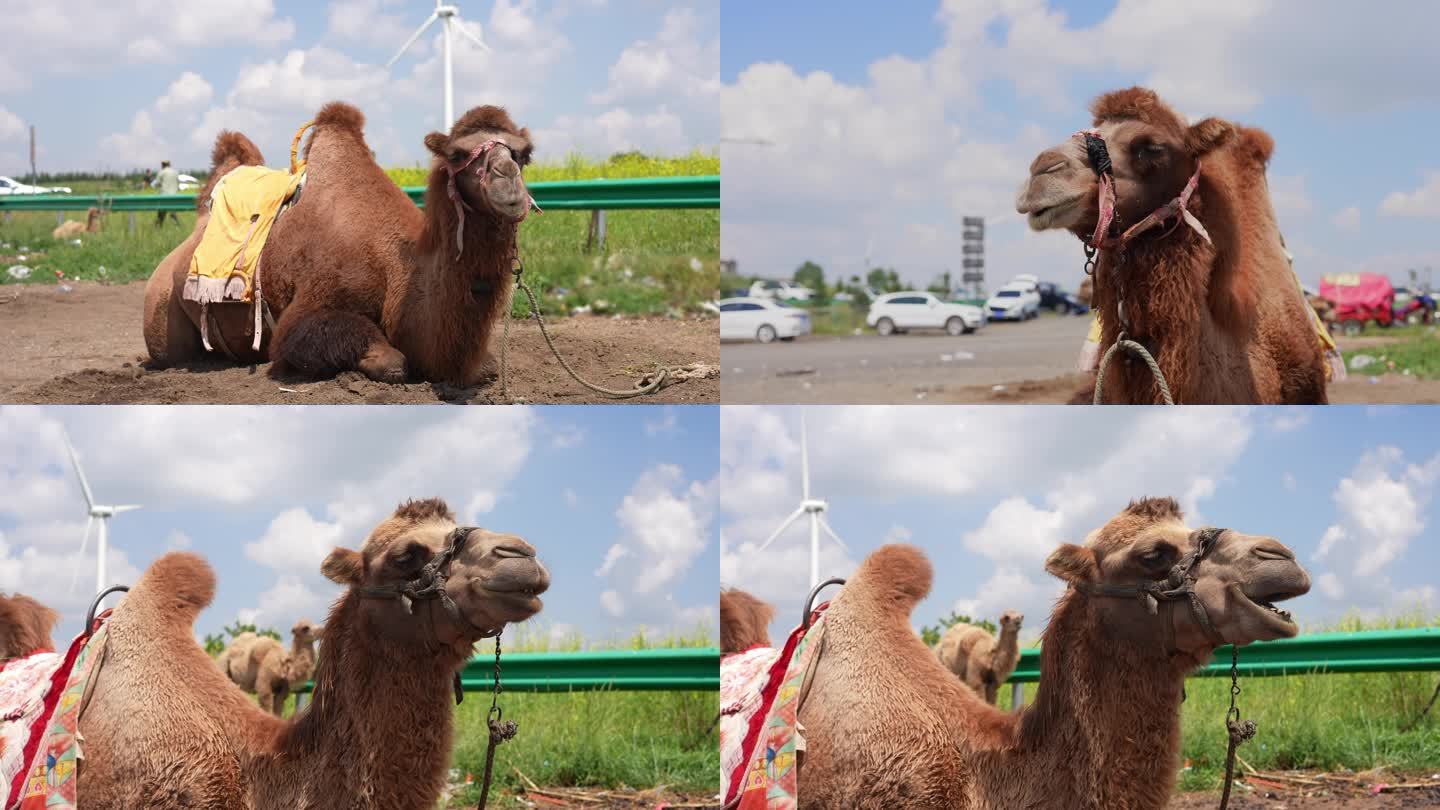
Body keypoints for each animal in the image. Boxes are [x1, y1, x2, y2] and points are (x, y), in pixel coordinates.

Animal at [143, 100, 535, 383]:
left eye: (524, 153)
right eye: (457, 155)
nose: (507, 181)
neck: (395, 269)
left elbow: (486, 367)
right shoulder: (310, 304)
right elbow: (390, 361)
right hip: (160, 313)